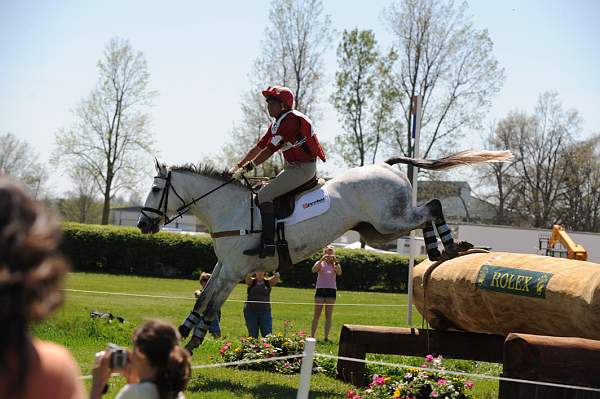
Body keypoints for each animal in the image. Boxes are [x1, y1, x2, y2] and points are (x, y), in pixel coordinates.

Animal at [137, 151, 510, 354]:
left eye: (155, 189)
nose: (142, 224)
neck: (230, 210)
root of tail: (386, 165)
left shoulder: (233, 271)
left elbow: (212, 304)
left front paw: (190, 342)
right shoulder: (223, 266)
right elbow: (203, 299)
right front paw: (180, 334)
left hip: (389, 219)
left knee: (432, 206)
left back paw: (451, 247)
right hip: (380, 228)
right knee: (424, 217)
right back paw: (441, 252)